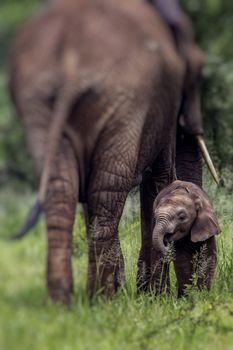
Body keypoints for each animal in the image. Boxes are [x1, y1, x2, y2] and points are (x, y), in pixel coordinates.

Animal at [9, 0, 216, 302]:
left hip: (39, 99)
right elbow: (159, 180)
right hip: (125, 98)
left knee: (64, 190)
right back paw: (103, 298)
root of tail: (71, 52)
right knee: (107, 191)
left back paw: (64, 301)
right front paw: (154, 297)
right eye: (199, 70)